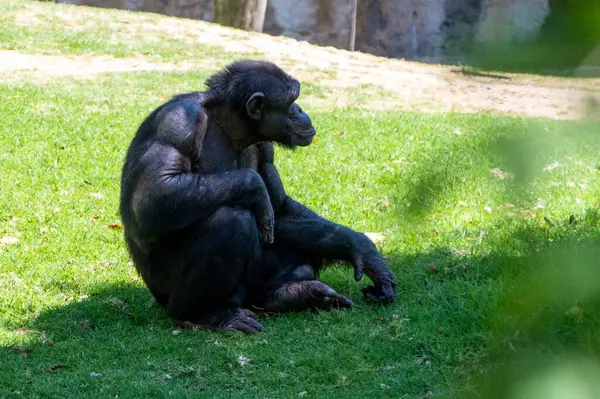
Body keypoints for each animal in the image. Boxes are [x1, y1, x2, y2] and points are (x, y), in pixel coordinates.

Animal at [119, 60, 396, 334]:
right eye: (291, 100)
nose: (299, 108)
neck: (230, 128)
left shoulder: (266, 146)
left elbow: (280, 208)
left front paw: (363, 250)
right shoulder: (177, 123)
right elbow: (152, 196)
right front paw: (255, 186)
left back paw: (294, 294)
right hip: (166, 290)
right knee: (231, 221)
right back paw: (205, 315)